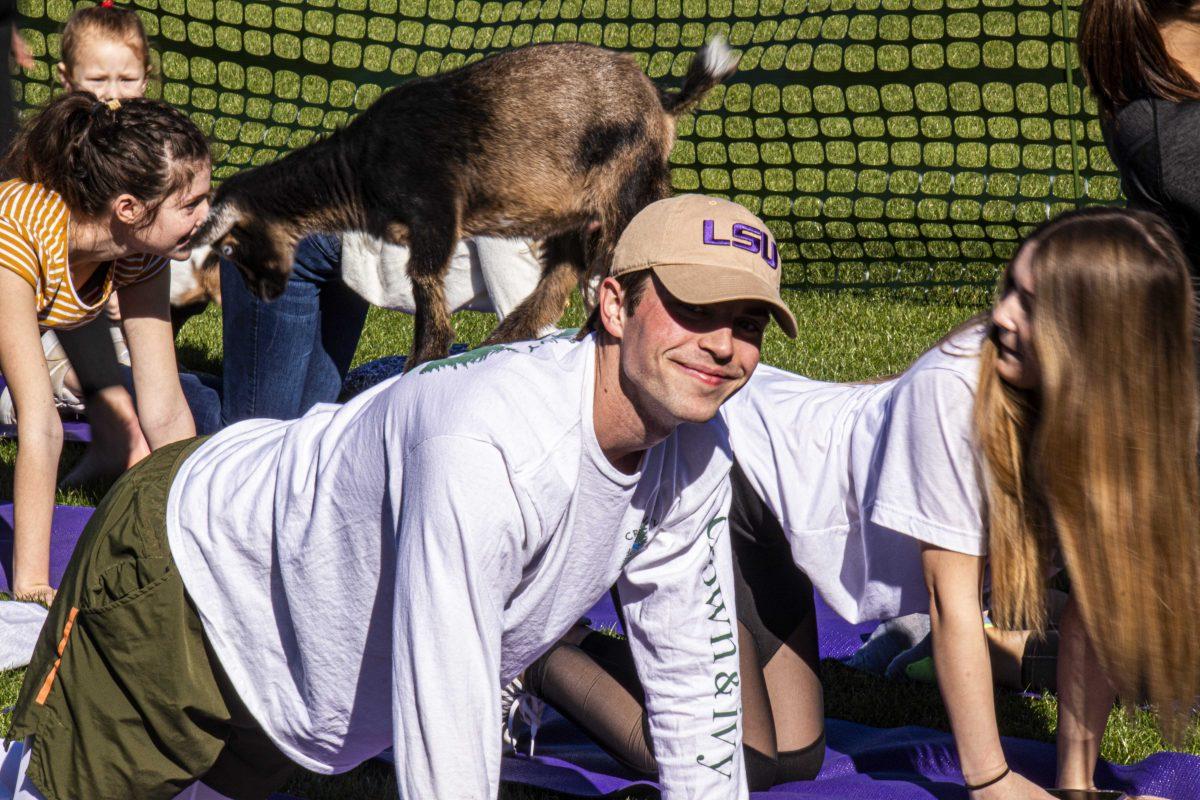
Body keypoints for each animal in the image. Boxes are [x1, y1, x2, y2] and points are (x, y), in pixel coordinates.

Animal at [195, 38, 734, 369]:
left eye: (229, 249)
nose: (265, 293)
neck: (358, 167)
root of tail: (662, 102)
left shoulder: (435, 210)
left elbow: (424, 282)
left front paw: (423, 357)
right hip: (574, 211)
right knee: (561, 275)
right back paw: (509, 339)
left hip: (625, 189)